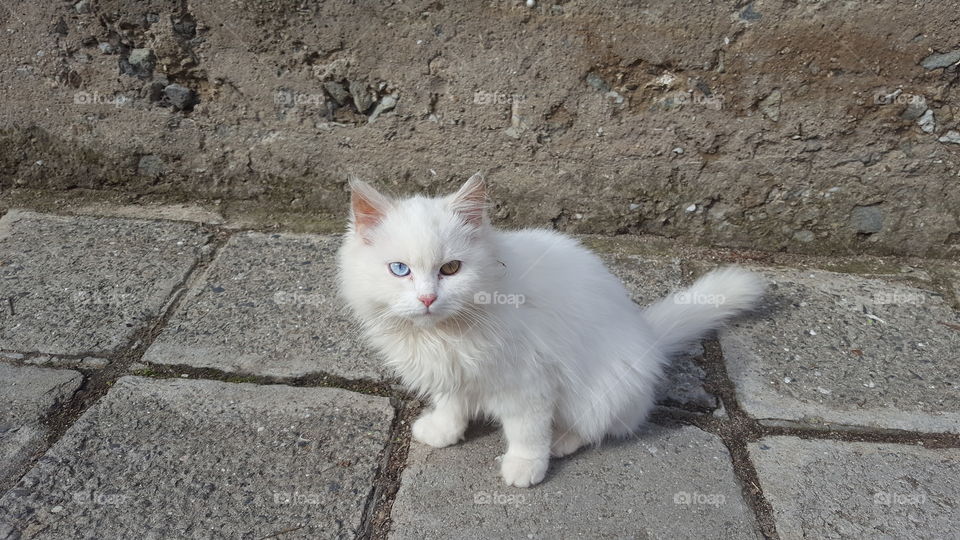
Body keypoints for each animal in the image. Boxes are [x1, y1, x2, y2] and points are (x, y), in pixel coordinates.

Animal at [338, 175, 764, 488]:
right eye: (400, 270)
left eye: (451, 269)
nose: (427, 298)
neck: (444, 333)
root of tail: (648, 337)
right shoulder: (455, 372)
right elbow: (452, 404)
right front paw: (444, 430)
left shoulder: (529, 383)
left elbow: (527, 432)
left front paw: (524, 468)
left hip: (603, 391)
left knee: (596, 429)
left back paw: (560, 441)